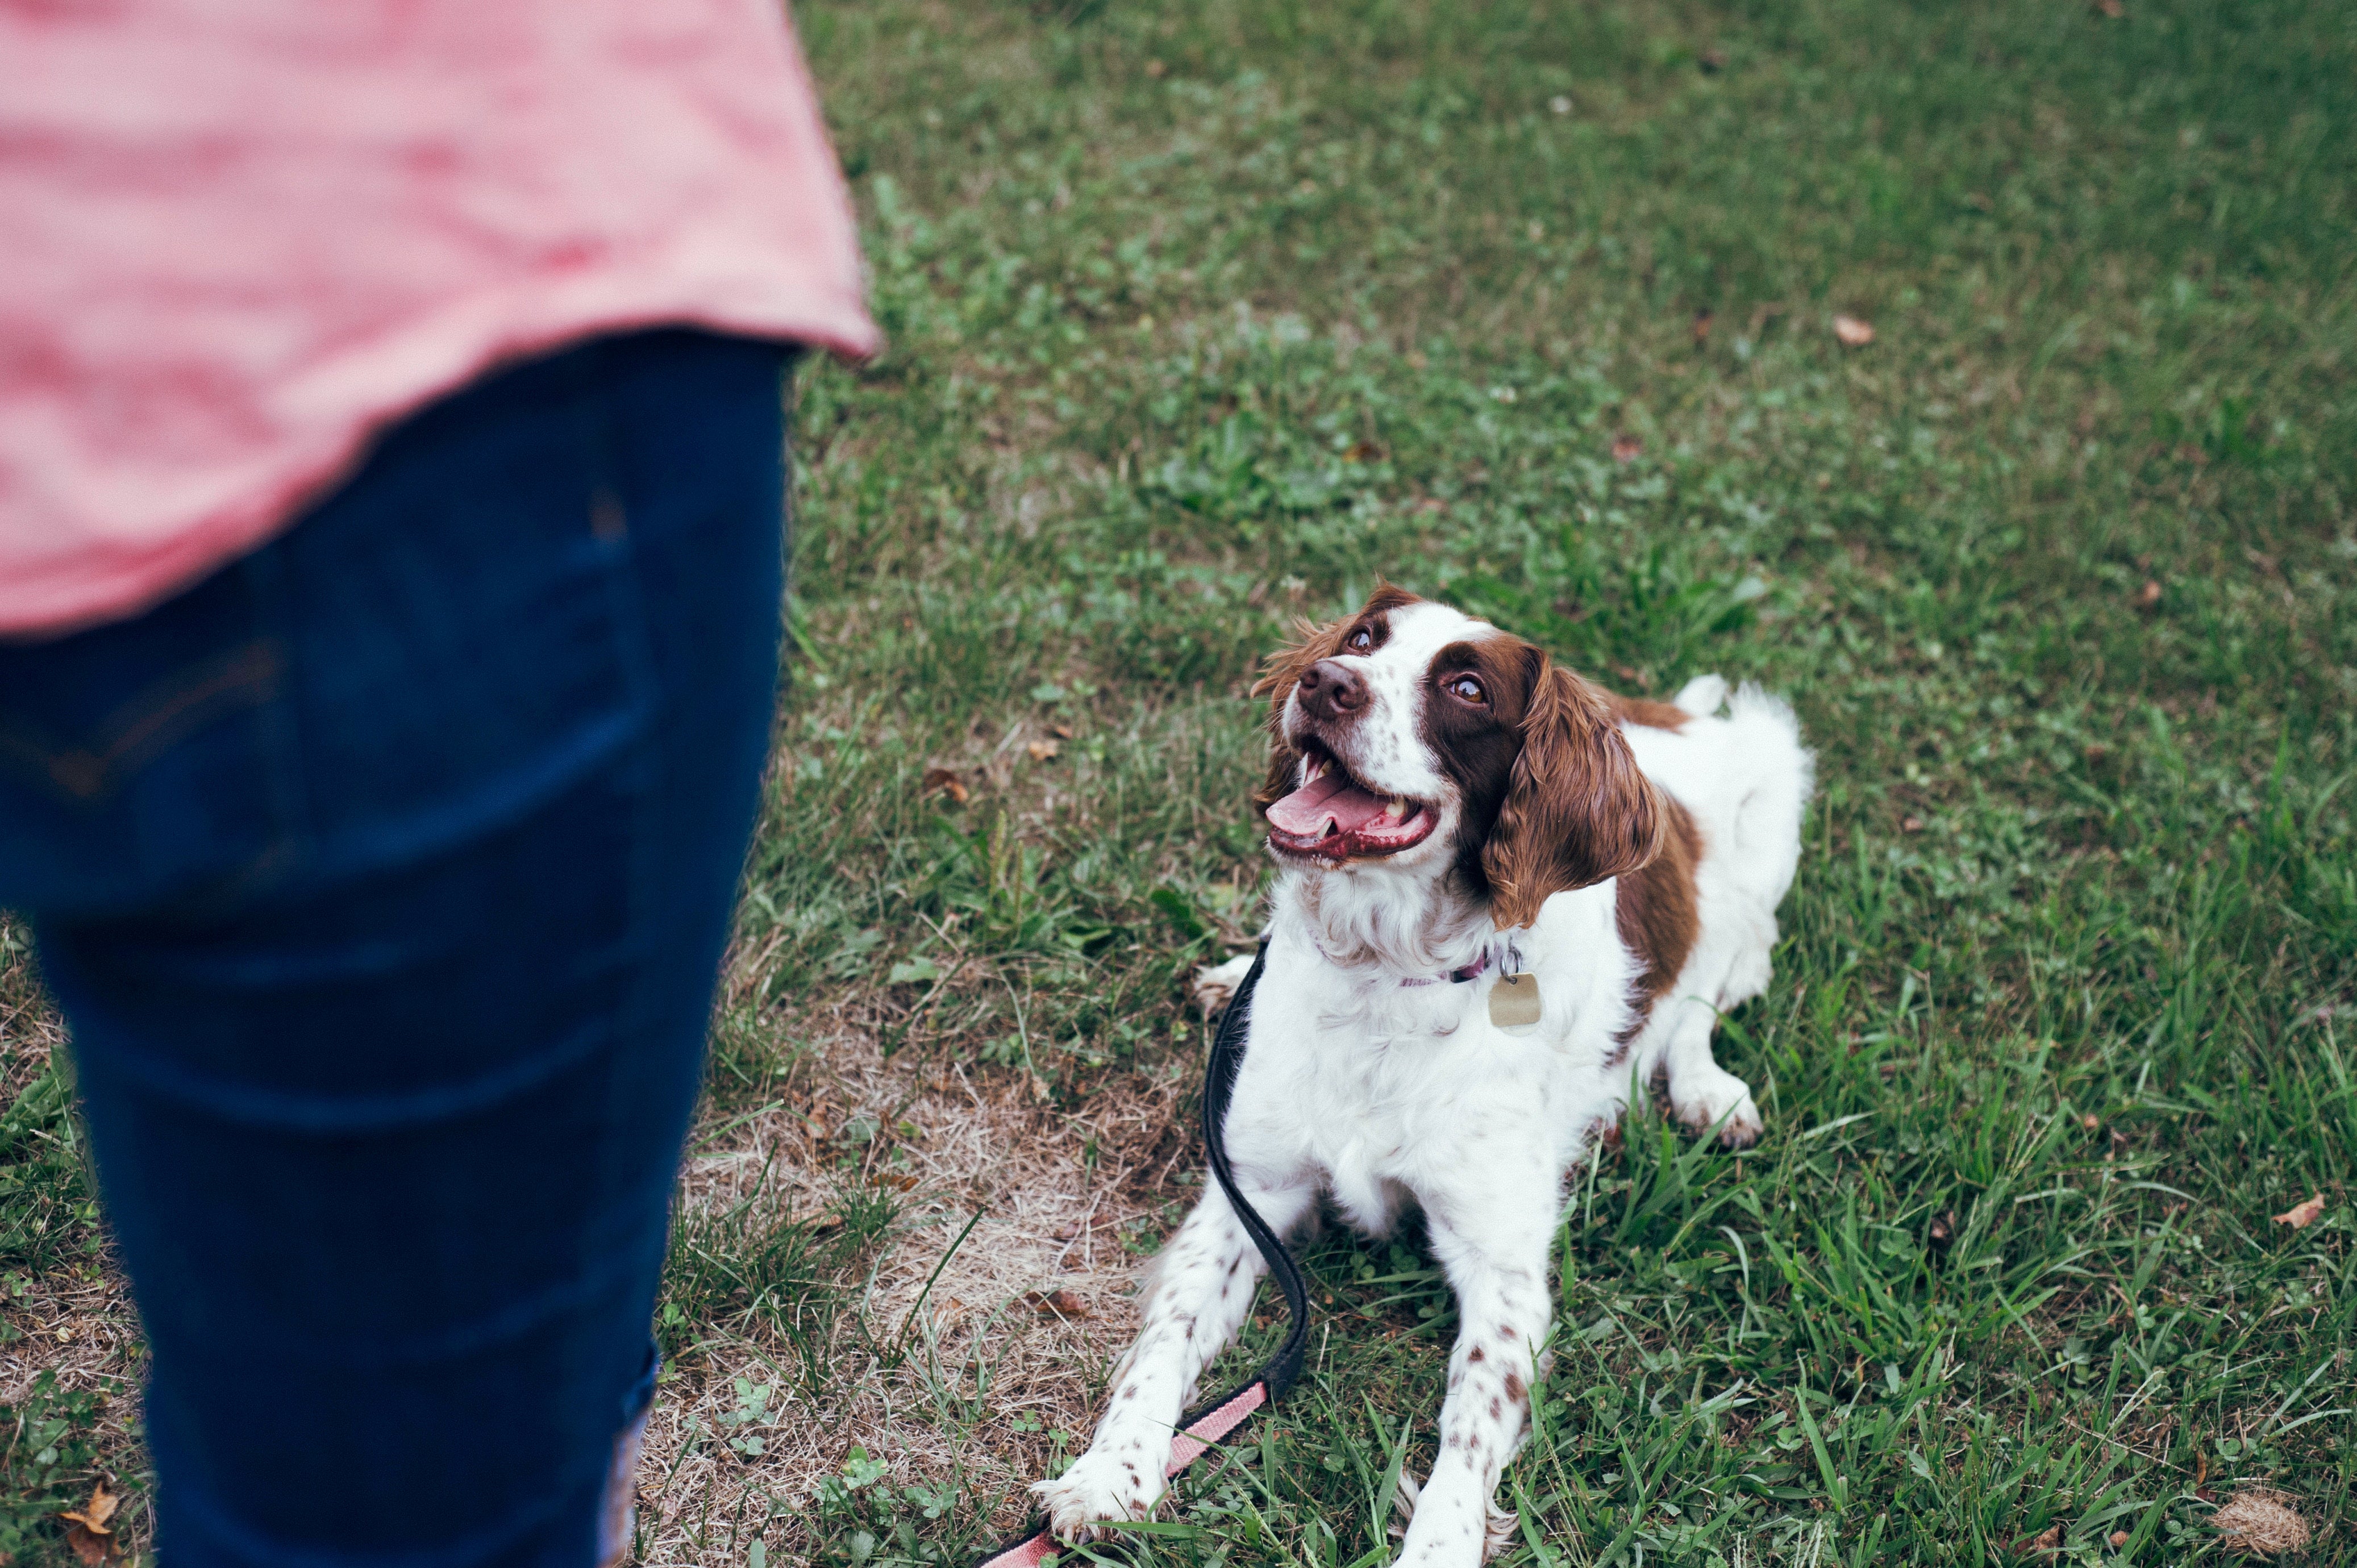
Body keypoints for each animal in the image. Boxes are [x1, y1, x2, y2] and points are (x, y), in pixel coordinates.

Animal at [1042, 585, 1810, 1556]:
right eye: (1364, 638)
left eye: (1469, 689)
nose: (1325, 681)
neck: (1385, 973)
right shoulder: (1250, 1190)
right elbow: (1165, 1341)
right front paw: (1110, 1473)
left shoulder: (1504, 1268)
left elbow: (1469, 1426)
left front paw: (1438, 1547)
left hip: (1771, 798)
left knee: (1711, 987)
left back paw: (1708, 1090)